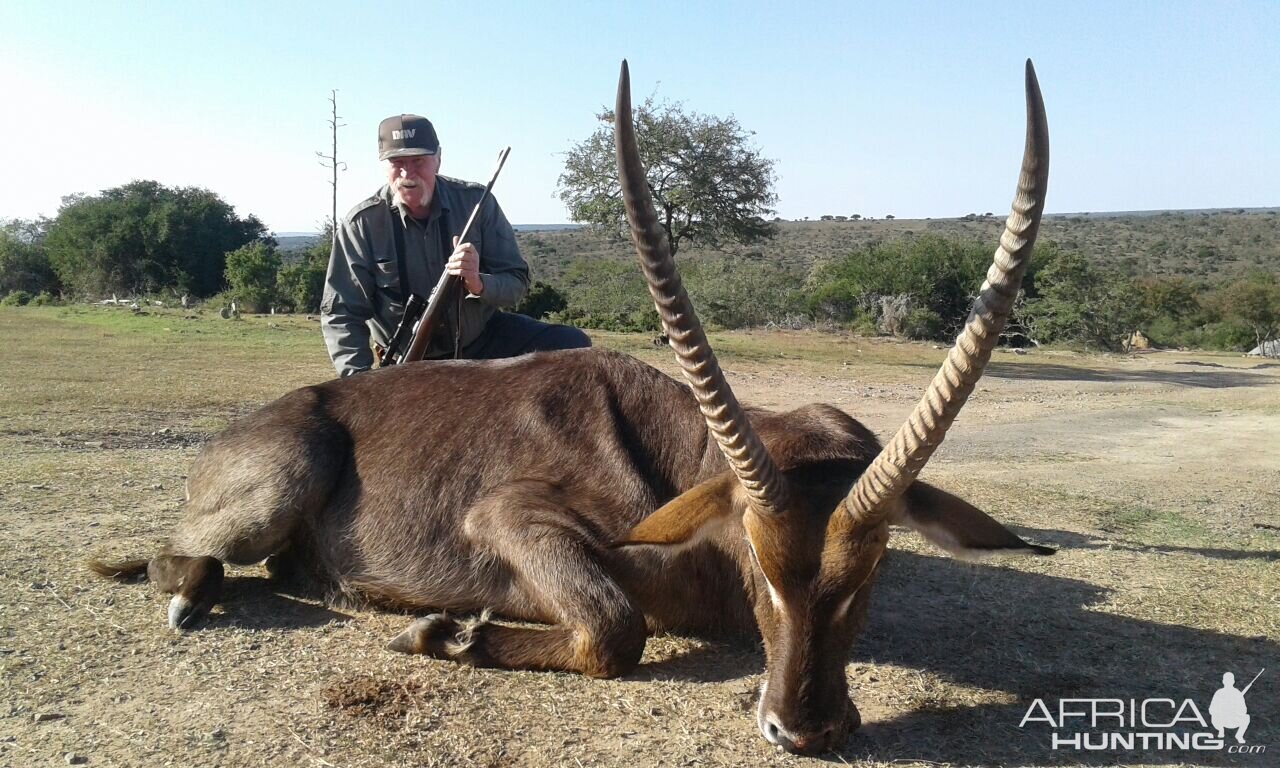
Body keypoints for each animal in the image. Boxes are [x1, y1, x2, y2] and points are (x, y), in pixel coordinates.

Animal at [90, 61, 1049, 757]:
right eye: (754, 548)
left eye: (874, 560)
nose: (801, 729)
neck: (672, 459)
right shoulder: (510, 518)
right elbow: (616, 630)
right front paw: (446, 635)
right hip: (282, 479)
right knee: (179, 555)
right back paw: (195, 597)